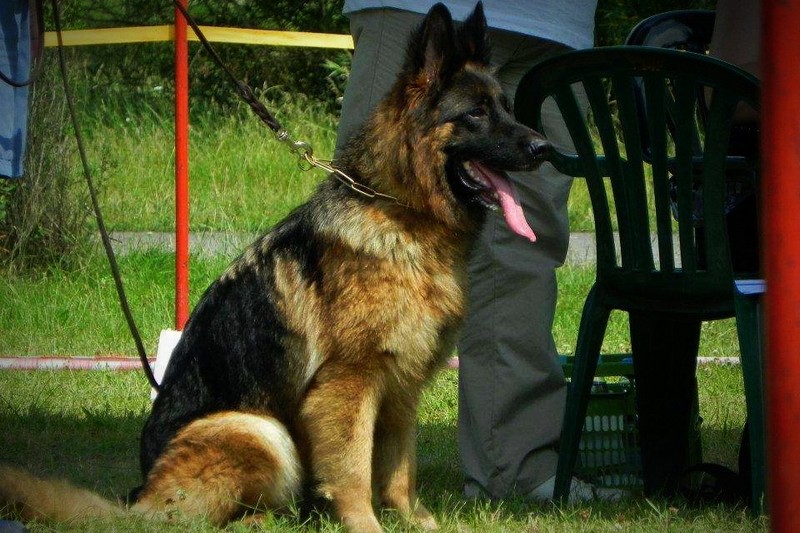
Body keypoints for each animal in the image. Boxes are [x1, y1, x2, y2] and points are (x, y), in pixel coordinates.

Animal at [0, 3, 549, 531]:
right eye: (475, 113)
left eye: (506, 108)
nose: (545, 148)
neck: (399, 212)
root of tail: (138, 500)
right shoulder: (347, 386)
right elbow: (353, 471)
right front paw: (365, 525)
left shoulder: (400, 389)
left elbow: (398, 470)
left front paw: (412, 522)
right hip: (256, 429)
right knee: (196, 518)